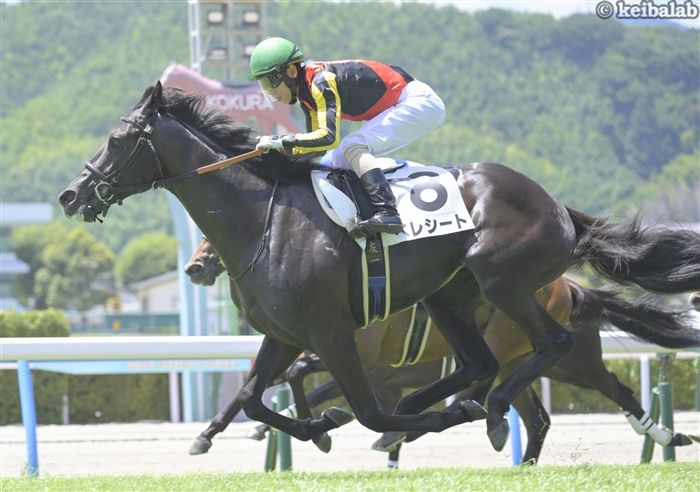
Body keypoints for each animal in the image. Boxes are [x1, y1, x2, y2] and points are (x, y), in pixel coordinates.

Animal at [185, 237, 699, 465]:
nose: (195, 266)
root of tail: (572, 287)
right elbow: (266, 385)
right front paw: (211, 434)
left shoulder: (362, 361)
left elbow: (298, 382)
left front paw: (323, 428)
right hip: (525, 359)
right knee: (533, 415)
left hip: (565, 360)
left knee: (615, 390)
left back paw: (667, 436)